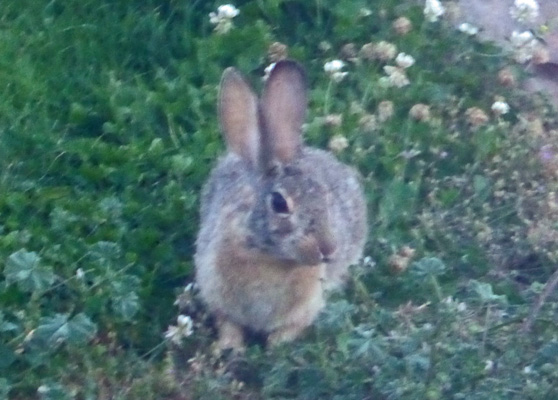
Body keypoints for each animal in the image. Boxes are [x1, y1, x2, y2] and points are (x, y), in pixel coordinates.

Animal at [195, 59, 370, 350]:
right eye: (279, 203)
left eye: (324, 195)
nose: (328, 249)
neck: (269, 258)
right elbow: (228, 323)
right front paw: (230, 347)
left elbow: (290, 329)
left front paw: (274, 345)